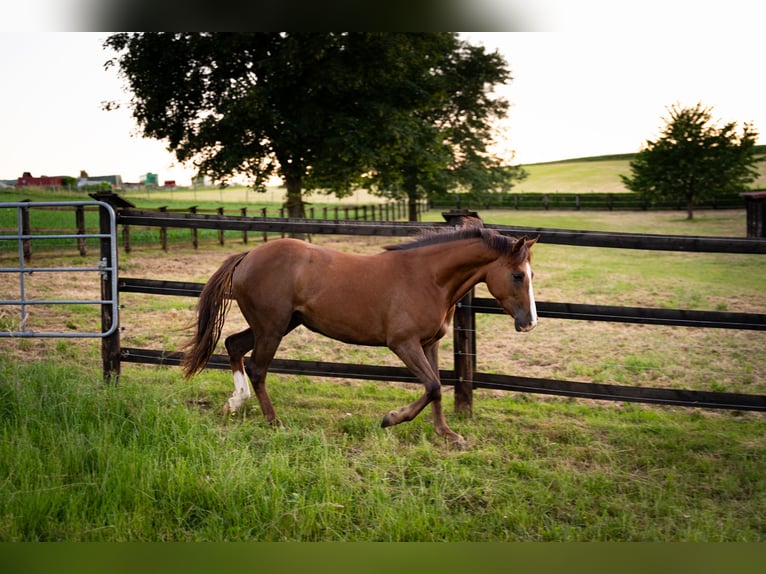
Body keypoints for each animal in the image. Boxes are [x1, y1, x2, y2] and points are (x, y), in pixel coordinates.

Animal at [181, 226, 538, 446]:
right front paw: (391, 419)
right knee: (257, 367)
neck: (429, 278)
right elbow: (433, 386)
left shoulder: (429, 343)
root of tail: (248, 256)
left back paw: (234, 403)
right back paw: (274, 422)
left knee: (233, 345)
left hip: (277, 325)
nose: (529, 323)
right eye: (517, 275)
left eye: (531, 274)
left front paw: (447, 434)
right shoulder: (403, 344)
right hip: (271, 327)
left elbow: (436, 387)